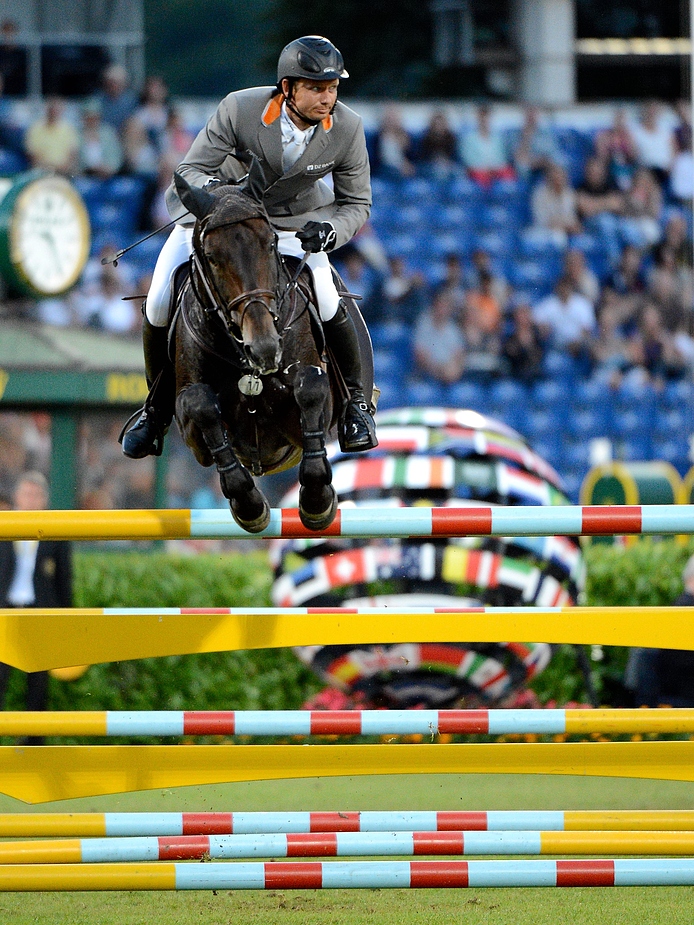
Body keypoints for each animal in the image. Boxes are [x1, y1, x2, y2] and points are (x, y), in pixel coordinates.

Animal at [169, 160, 358, 536]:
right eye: (211, 257)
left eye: (271, 242)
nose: (265, 348)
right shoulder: (190, 433)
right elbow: (200, 404)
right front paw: (249, 505)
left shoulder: (312, 403)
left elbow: (311, 389)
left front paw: (317, 502)